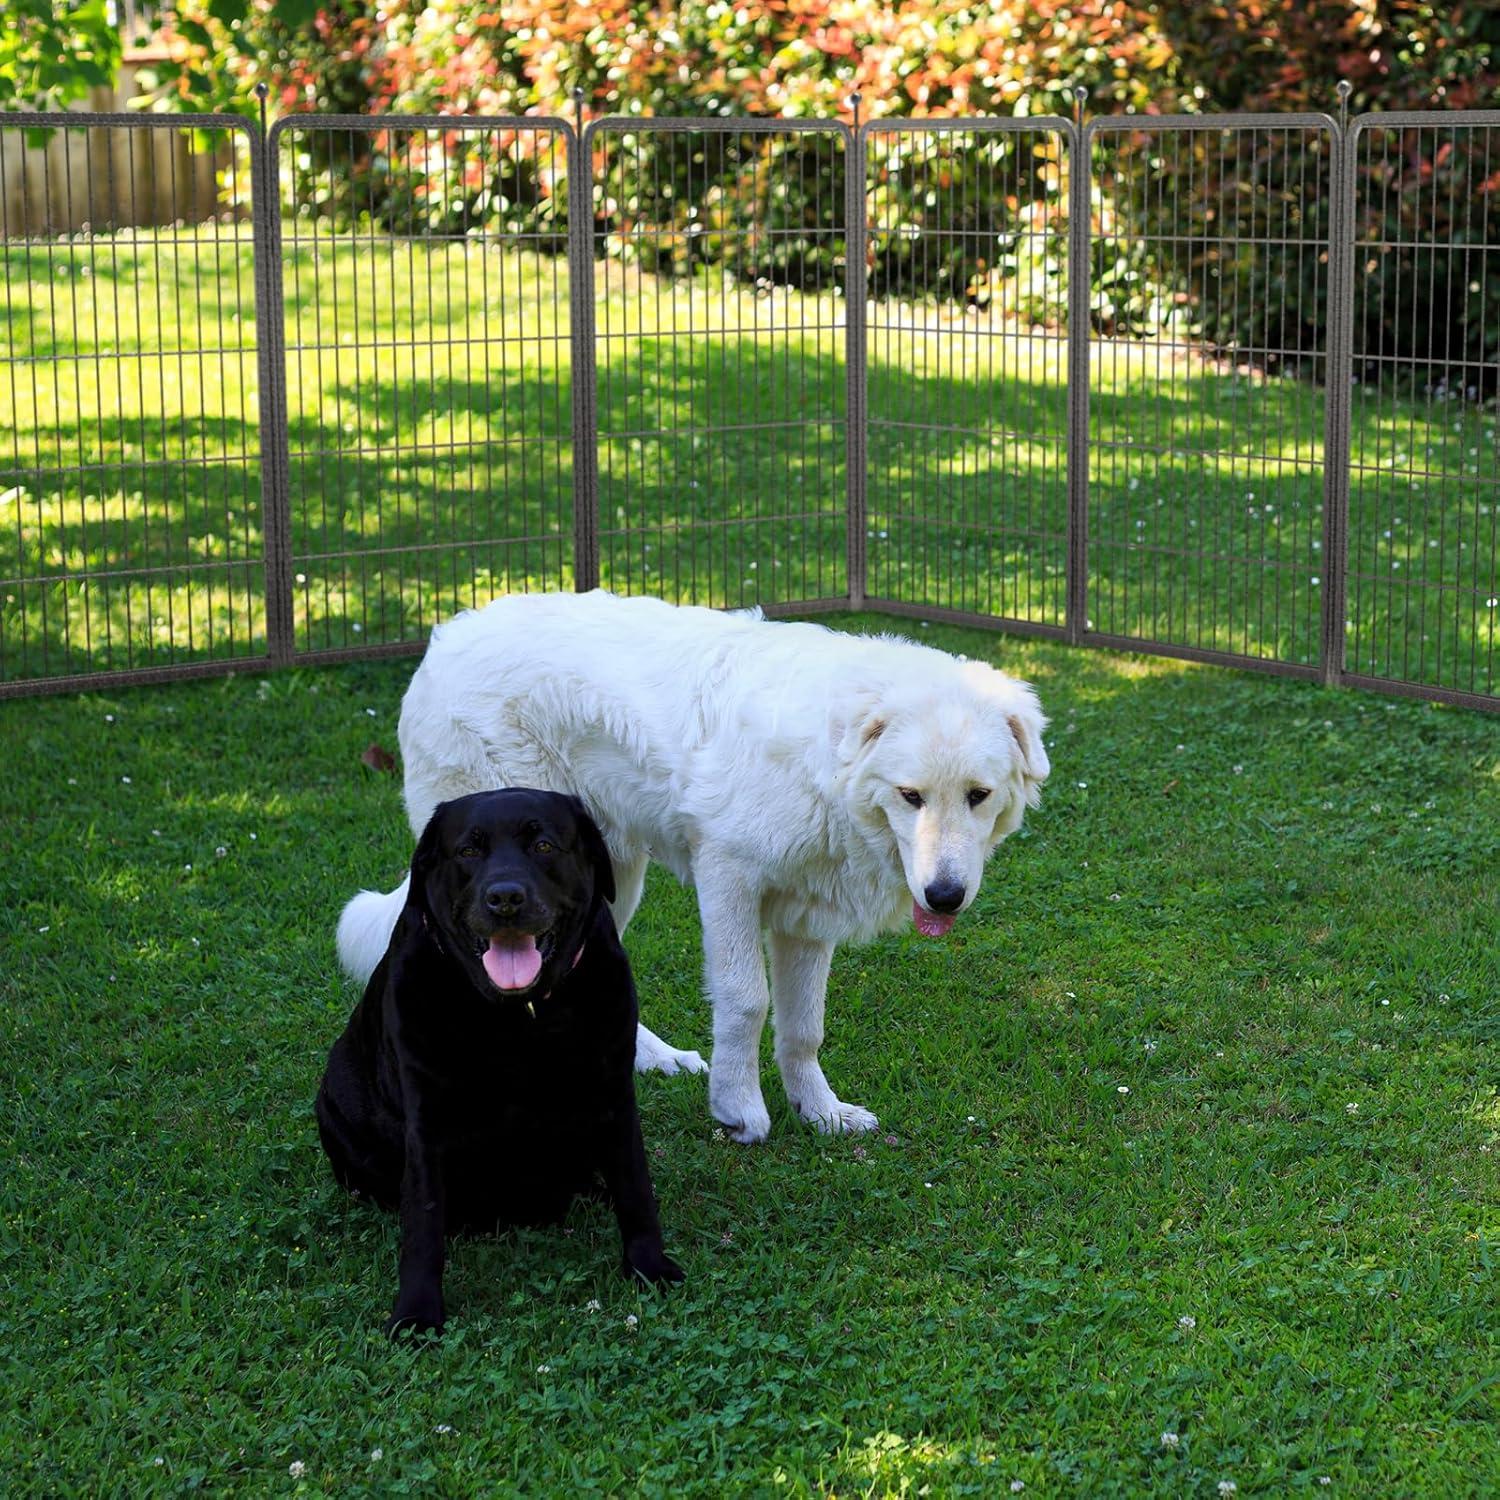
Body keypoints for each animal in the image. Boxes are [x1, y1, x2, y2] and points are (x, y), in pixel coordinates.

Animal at [322, 786, 690, 1338]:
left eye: (543, 845)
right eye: (468, 851)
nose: (505, 898)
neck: (522, 1015)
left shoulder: (613, 1095)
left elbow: (635, 1187)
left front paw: (649, 1265)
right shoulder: (427, 1123)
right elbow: (423, 1224)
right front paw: (416, 1312)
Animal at [336, 591, 1050, 1140]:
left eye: (978, 796)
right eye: (911, 796)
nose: (945, 896)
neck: (830, 766)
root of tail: (442, 642)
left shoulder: (807, 917)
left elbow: (803, 1027)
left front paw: (819, 1112)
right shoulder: (728, 876)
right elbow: (746, 1001)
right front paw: (739, 1110)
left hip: (608, 881)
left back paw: (651, 1059)